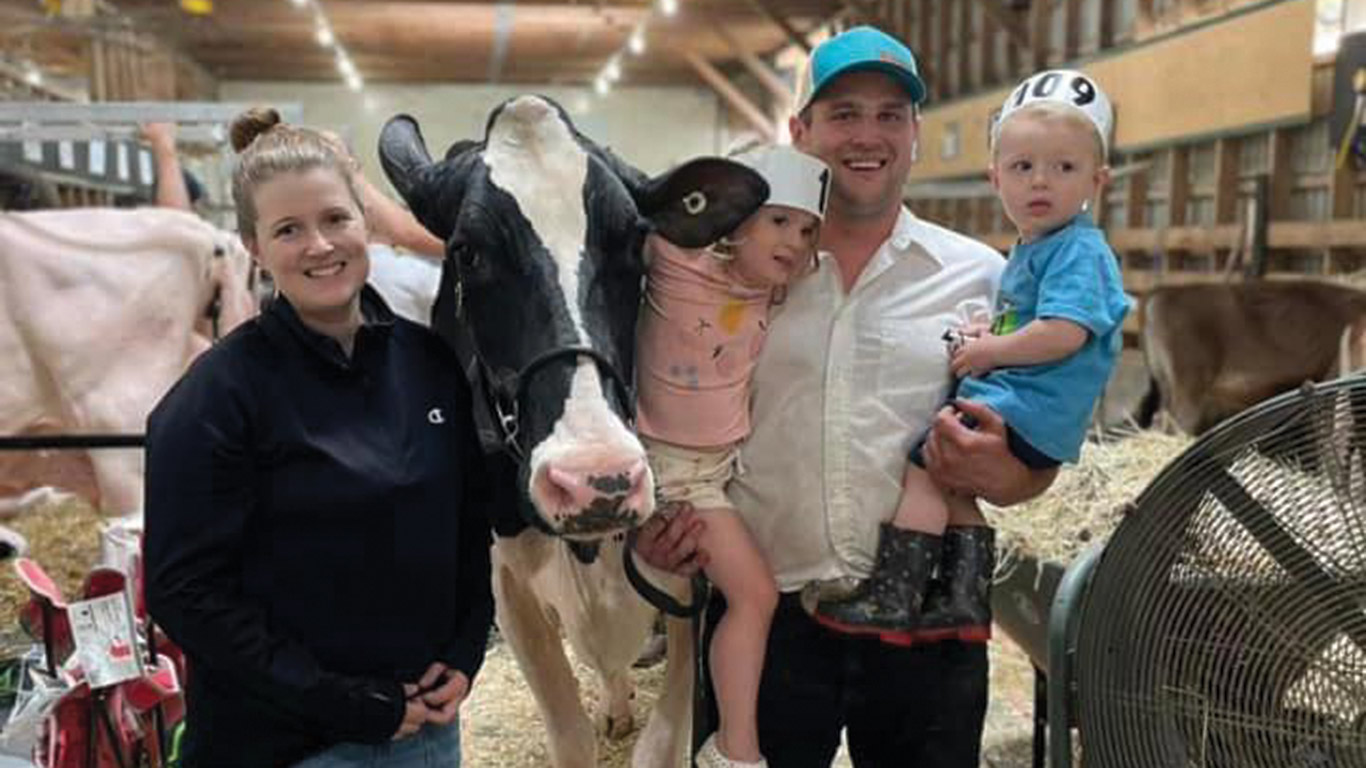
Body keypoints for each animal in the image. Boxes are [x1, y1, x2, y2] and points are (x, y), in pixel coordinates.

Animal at [379, 95, 770, 765]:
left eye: (635, 242)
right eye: (467, 252)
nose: (597, 479)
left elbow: (664, 740)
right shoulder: (506, 581)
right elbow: (569, 733)